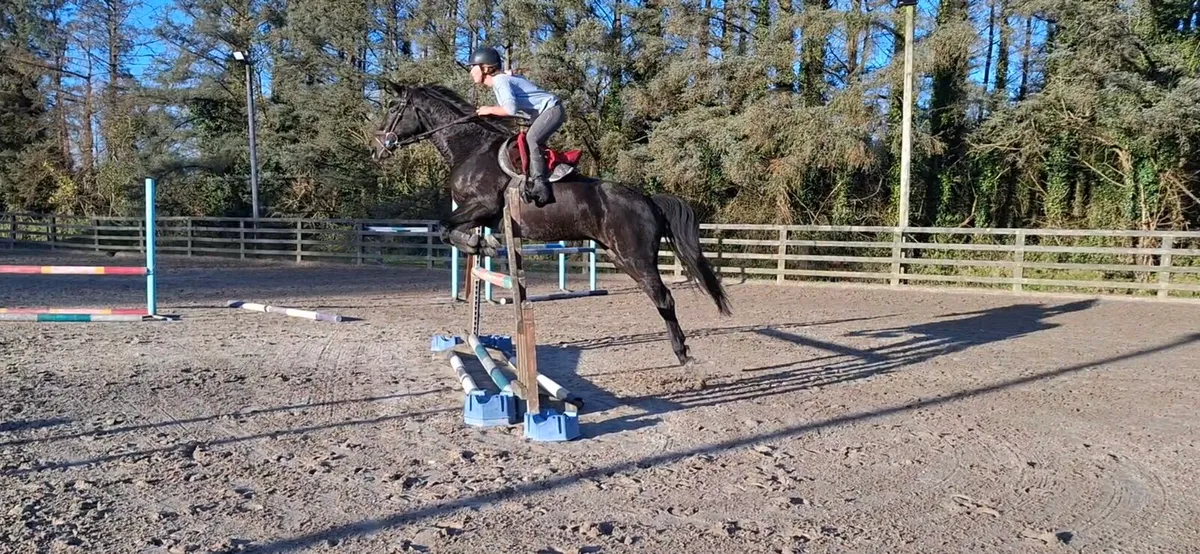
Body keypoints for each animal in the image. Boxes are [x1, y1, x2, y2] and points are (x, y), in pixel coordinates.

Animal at [369, 81, 731, 366]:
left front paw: (479, 243)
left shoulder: (483, 205)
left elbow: (446, 228)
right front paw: (483, 243)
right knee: (659, 297)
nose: (377, 149)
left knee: (664, 298)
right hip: (619, 256)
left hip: (635, 257)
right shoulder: (481, 213)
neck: (470, 149)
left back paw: (682, 354)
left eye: (393, 107)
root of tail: (647, 199)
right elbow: (450, 230)